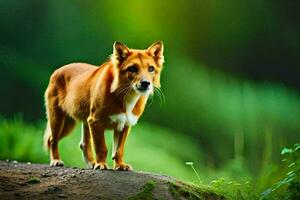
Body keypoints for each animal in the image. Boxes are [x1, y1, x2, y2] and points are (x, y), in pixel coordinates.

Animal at [42, 41, 164, 170]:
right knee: (52, 140)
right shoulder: (96, 121)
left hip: (78, 121)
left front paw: (121, 165)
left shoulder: (125, 123)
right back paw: (56, 161)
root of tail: (57, 71)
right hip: (59, 120)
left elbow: (119, 150)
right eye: (132, 68)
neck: (127, 95)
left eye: (151, 68)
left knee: (83, 143)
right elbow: (101, 147)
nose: (145, 83)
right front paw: (101, 164)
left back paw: (91, 163)